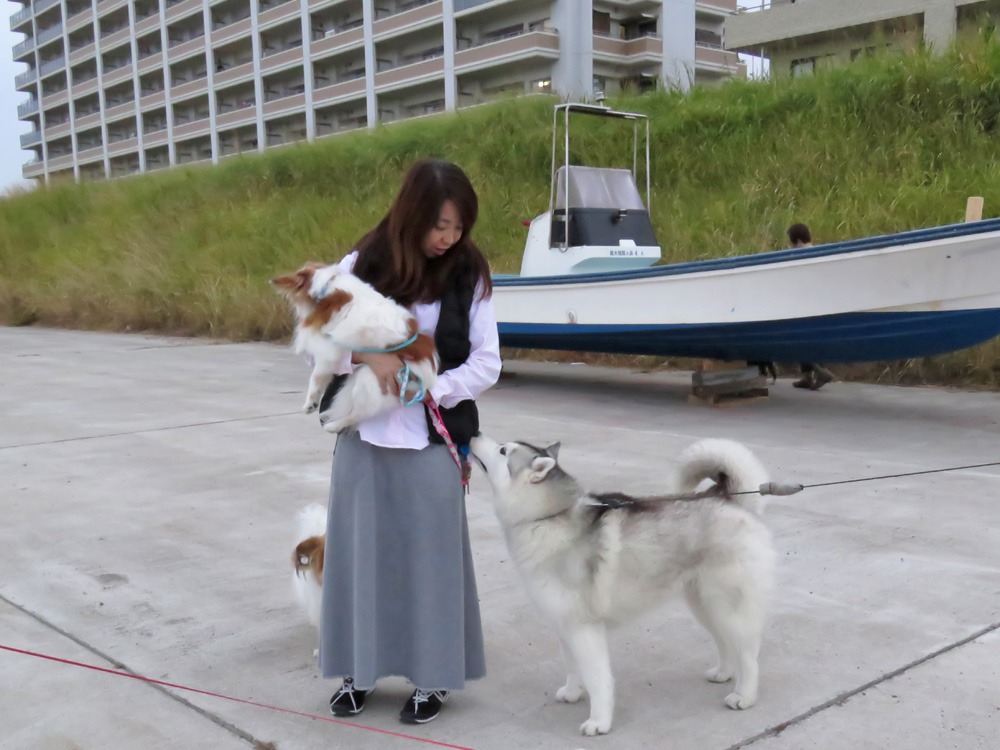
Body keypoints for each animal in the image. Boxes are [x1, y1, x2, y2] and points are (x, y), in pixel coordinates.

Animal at [270, 264, 438, 434]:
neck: (326, 287)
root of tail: (428, 376)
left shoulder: (328, 348)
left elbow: (316, 376)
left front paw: (311, 402)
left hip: (369, 379)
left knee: (359, 414)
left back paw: (334, 425)